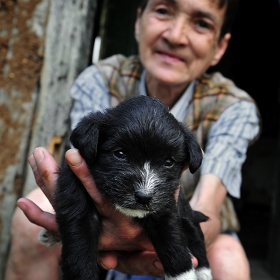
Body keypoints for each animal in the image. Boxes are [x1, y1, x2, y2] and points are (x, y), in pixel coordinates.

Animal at [38, 96, 212, 280]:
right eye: (120, 154)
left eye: (169, 162)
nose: (144, 196)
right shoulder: (76, 203)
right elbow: (79, 251)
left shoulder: (165, 207)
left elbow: (173, 243)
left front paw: (184, 275)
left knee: (195, 234)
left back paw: (203, 271)